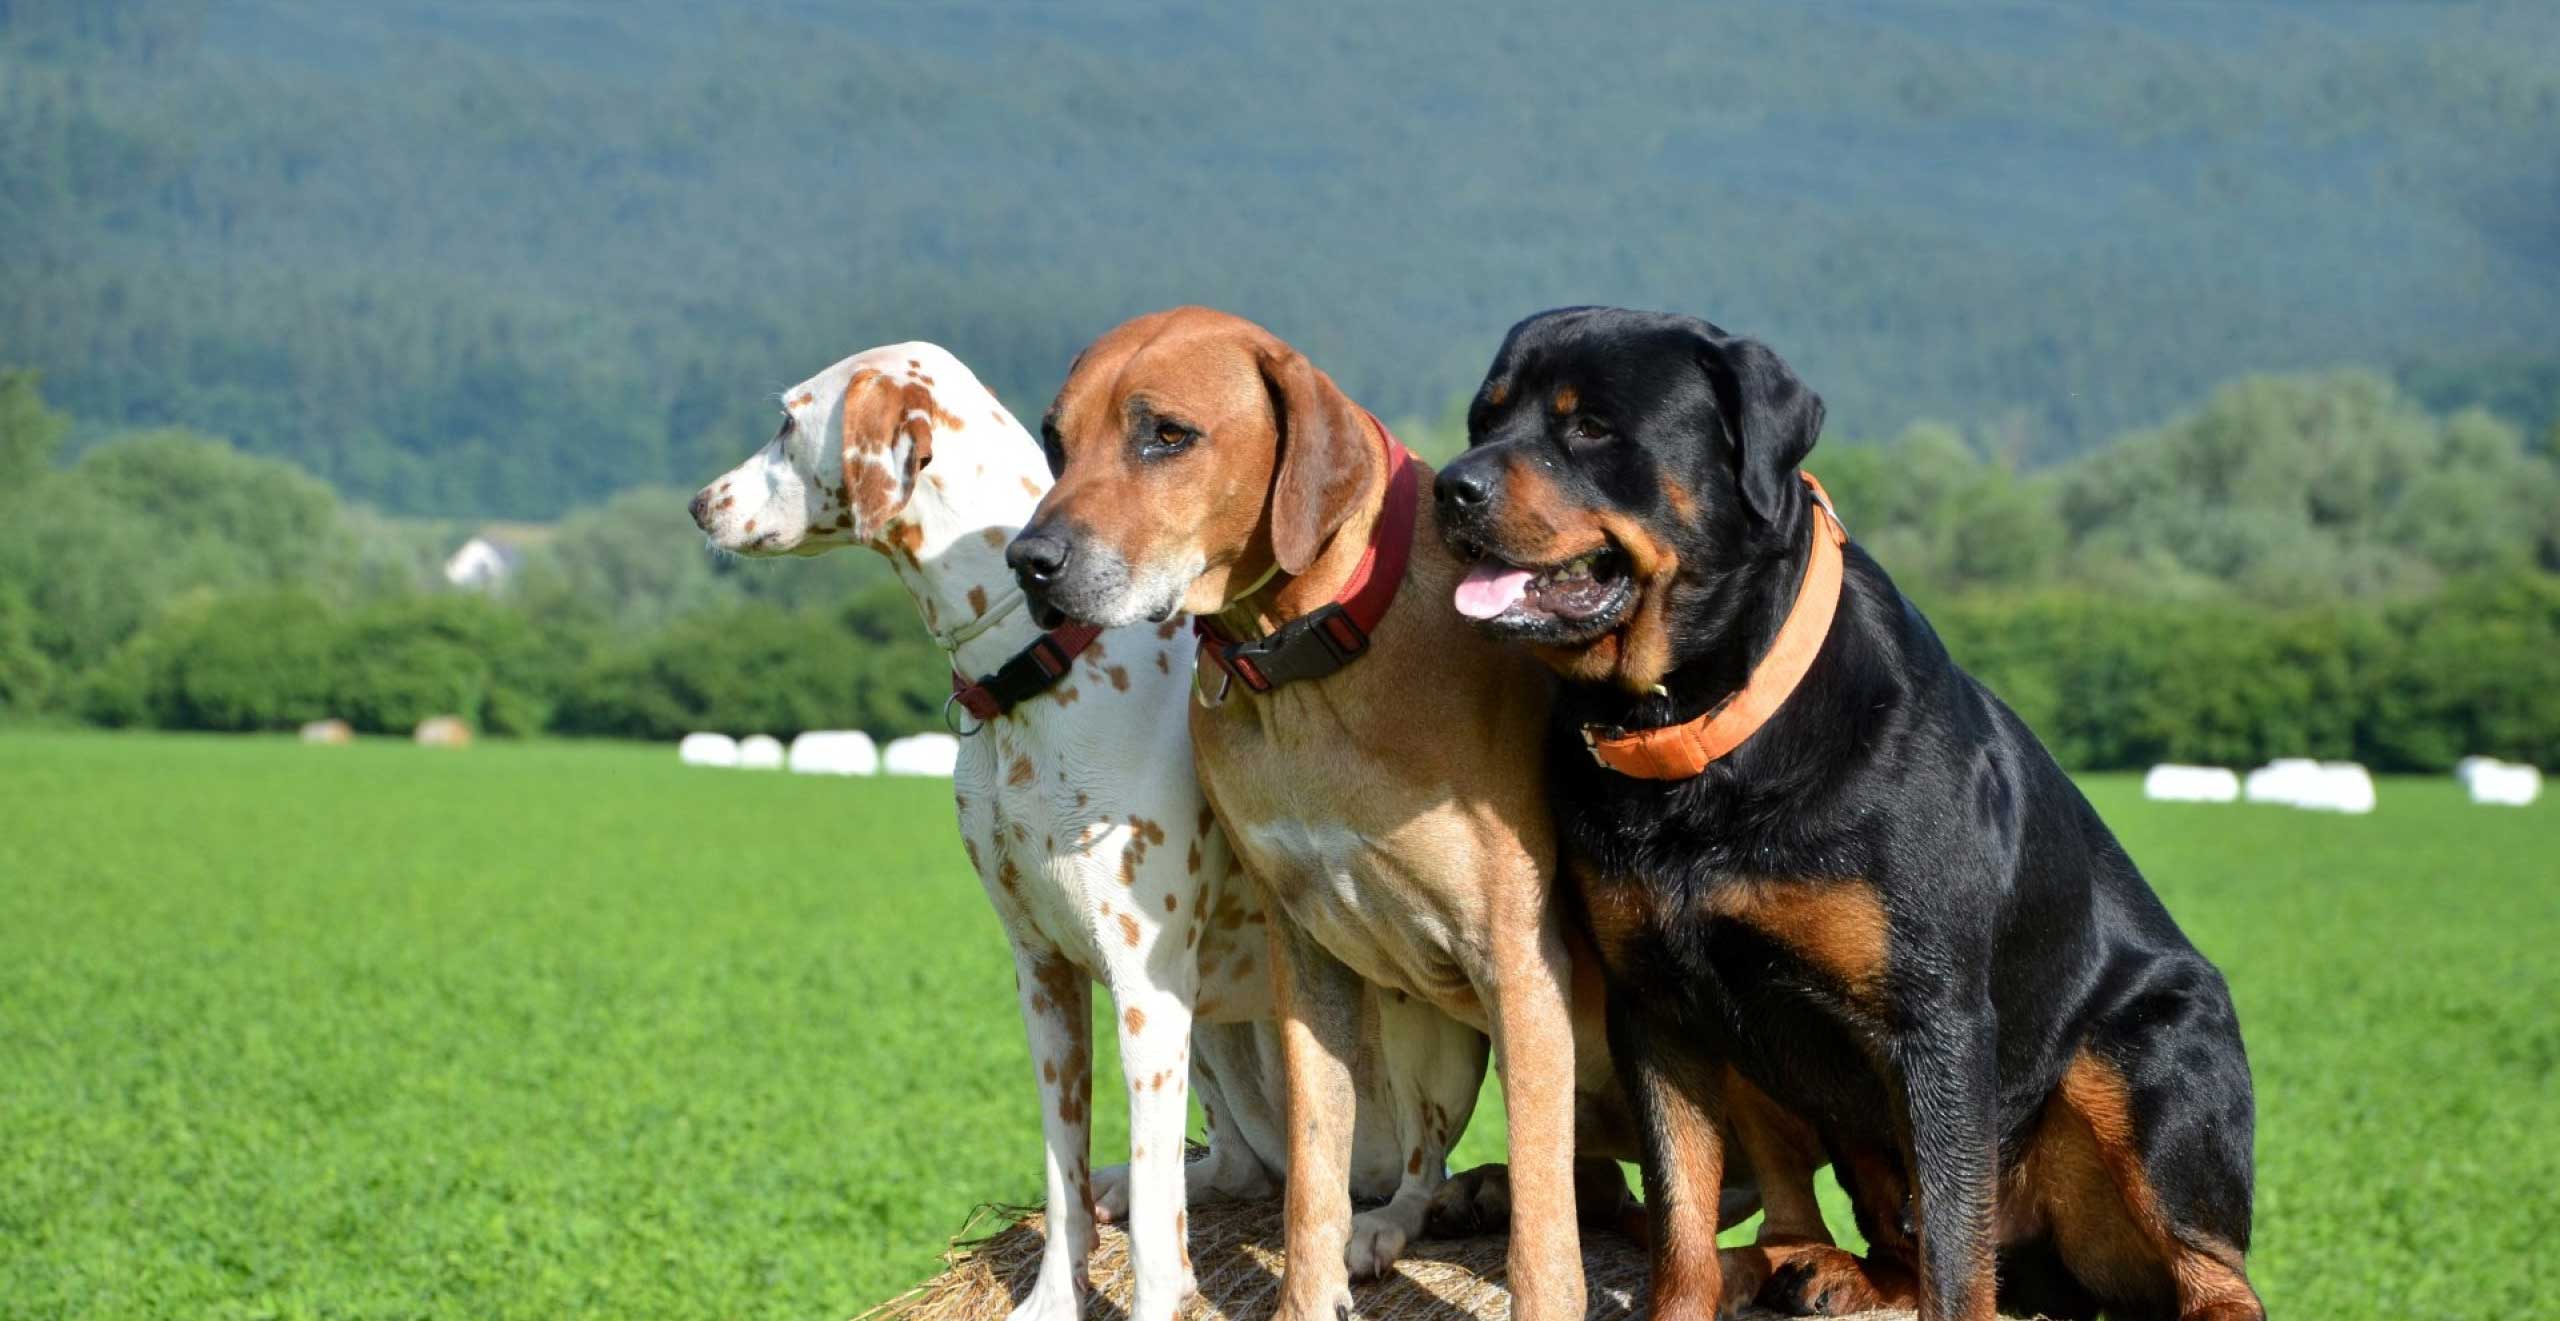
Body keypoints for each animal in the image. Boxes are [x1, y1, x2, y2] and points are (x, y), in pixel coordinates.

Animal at [691, 345, 1495, 1321]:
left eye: (786, 419)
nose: (698, 503)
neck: (1032, 675)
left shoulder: (1144, 991)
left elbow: (1156, 1222)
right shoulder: (1043, 975)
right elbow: (1061, 1176)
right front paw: (1053, 1293)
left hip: (1406, 1024)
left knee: (1419, 1169)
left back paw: (1377, 1227)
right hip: (1214, 1034)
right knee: (1232, 1166)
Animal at [1008, 309, 1587, 1321]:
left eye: (1167, 435)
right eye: (1055, 440)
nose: (1030, 562)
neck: (1304, 657)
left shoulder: (1518, 959)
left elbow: (1544, 1223)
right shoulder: (1304, 946)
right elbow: (1314, 1166)